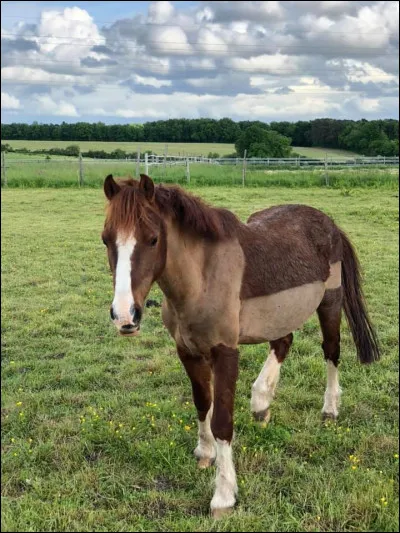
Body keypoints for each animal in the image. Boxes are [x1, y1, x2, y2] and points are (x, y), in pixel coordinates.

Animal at [101, 174, 380, 516]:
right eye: (106, 239)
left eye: (153, 239)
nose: (124, 315)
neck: (202, 277)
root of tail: (330, 224)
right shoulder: (187, 351)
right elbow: (202, 403)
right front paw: (204, 453)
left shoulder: (225, 353)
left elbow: (222, 421)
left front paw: (224, 496)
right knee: (284, 342)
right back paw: (261, 403)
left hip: (330, 304)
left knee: (331, 351)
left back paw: (329, 409)